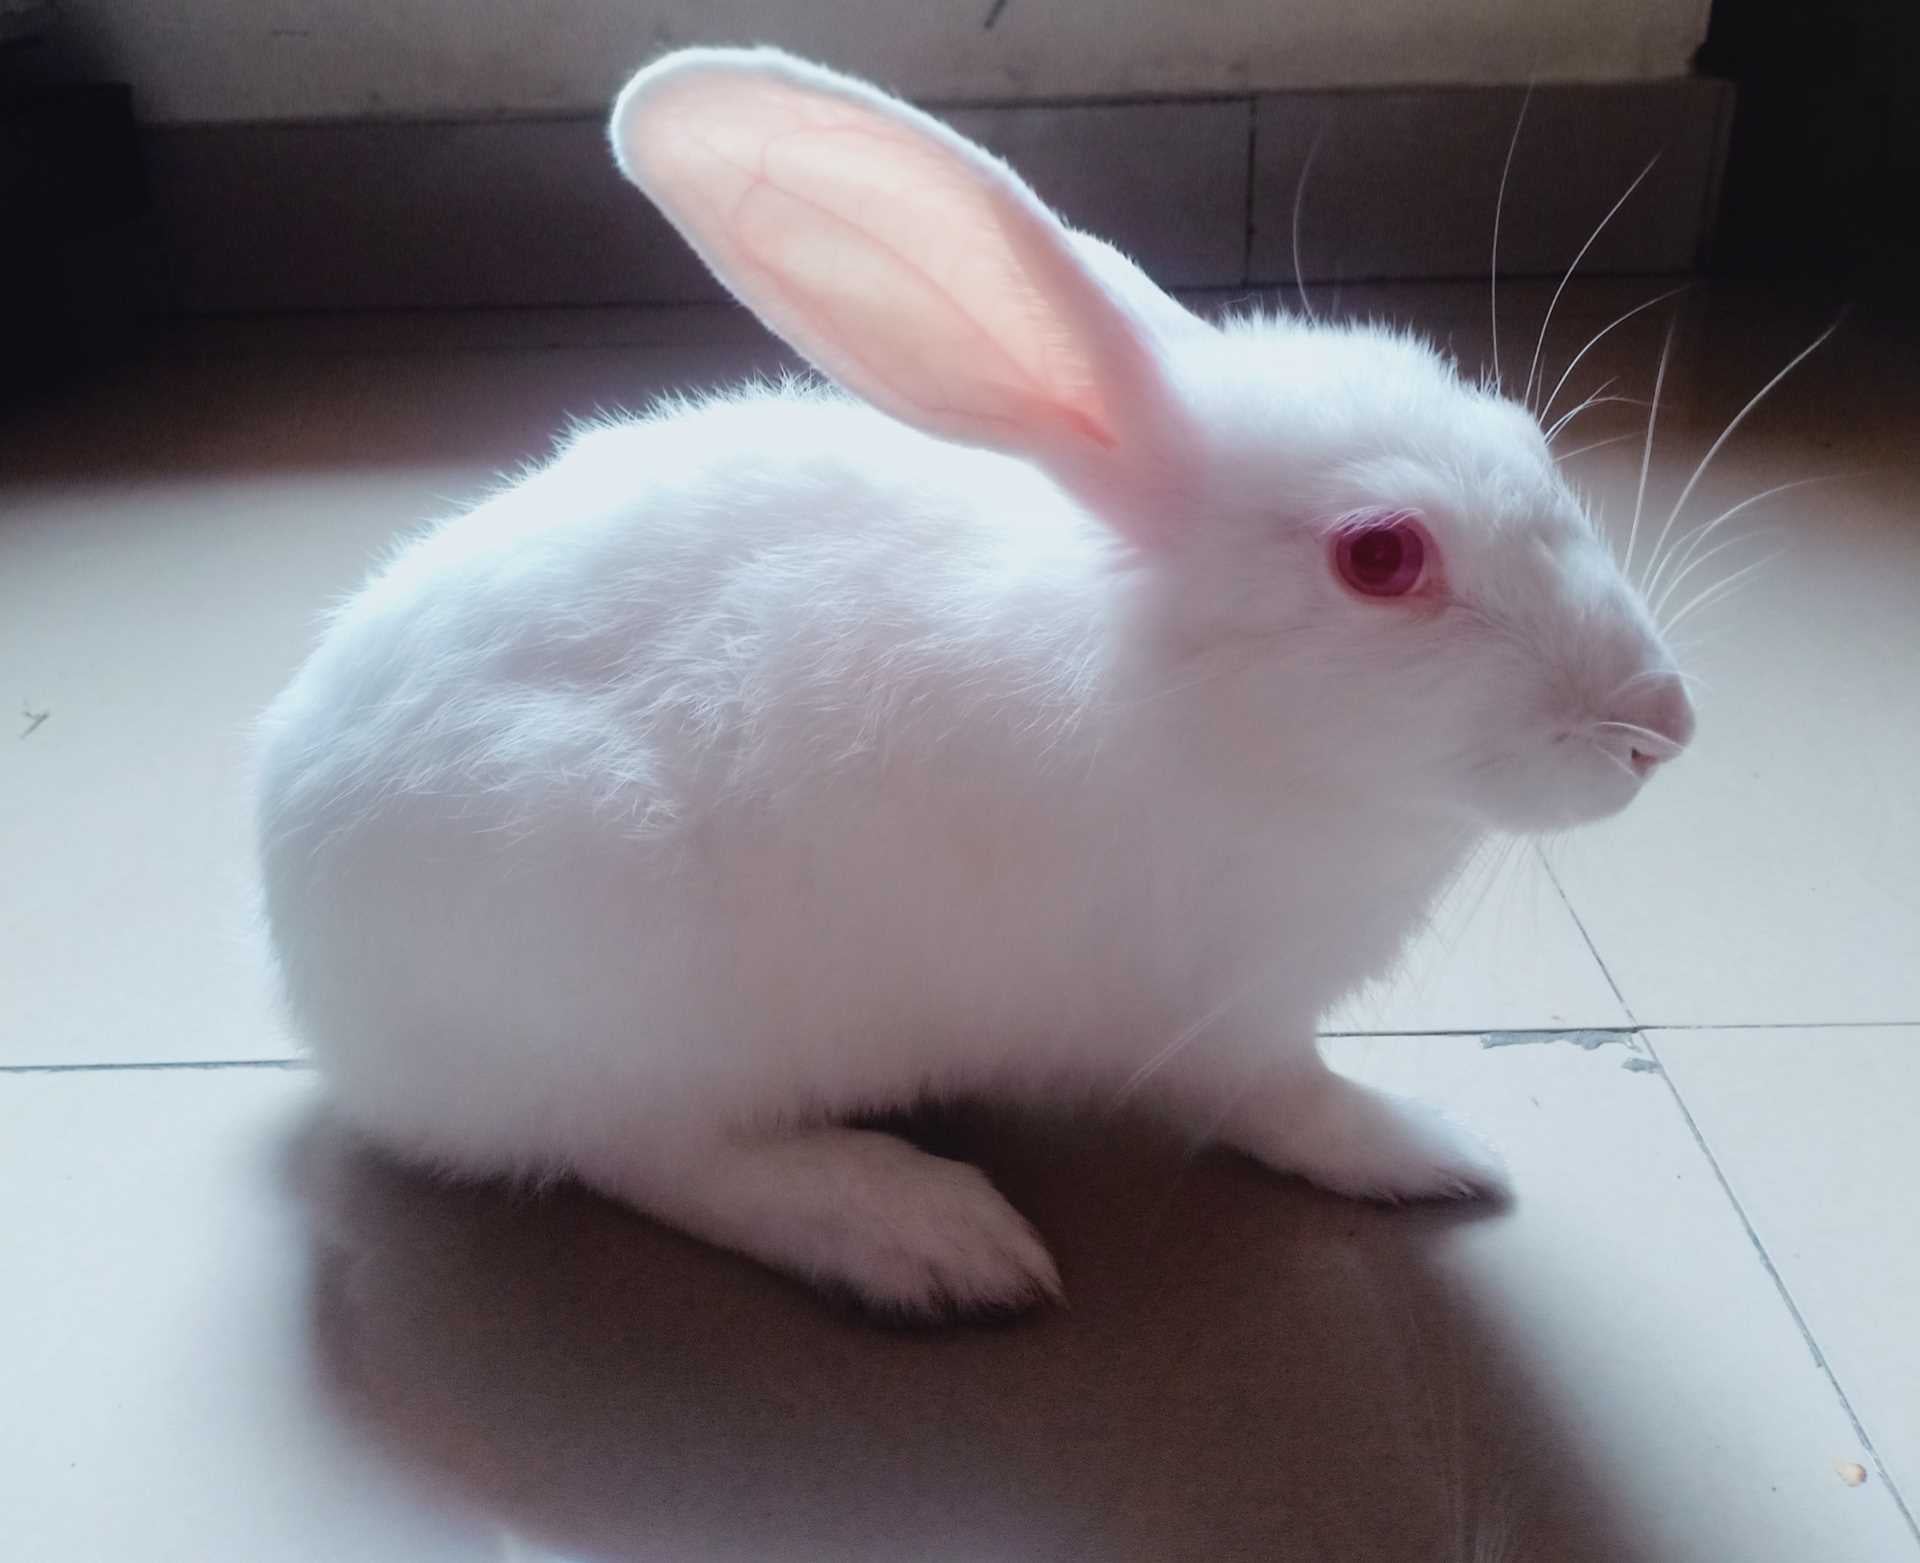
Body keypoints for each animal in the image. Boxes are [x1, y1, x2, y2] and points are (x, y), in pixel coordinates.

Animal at [255, 46, 1695, 1317]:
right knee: (645, 1150)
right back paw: (924, 1236)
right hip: (616, 969)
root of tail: (303, 935)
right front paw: (1425, 1147)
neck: (1207, 699)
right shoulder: (1225, 1020)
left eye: (1525, 439)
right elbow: (1292, 1105)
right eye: (1381, 556)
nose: (1665, 725)